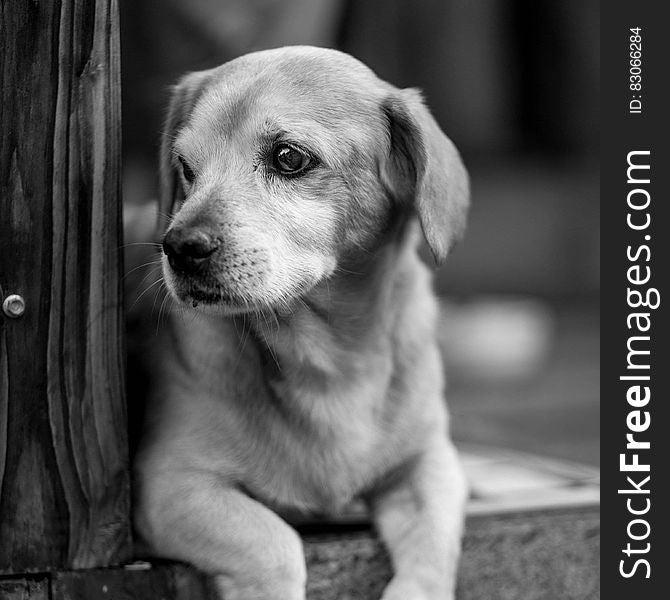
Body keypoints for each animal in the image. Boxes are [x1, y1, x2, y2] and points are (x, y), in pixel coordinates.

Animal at [135, 45, 472, 600]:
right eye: (185, 167)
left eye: (289, 158)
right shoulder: (168, 484)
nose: (179, 247)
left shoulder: (431, 465)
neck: (328, 363)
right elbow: (275, 544)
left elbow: (432, 557)